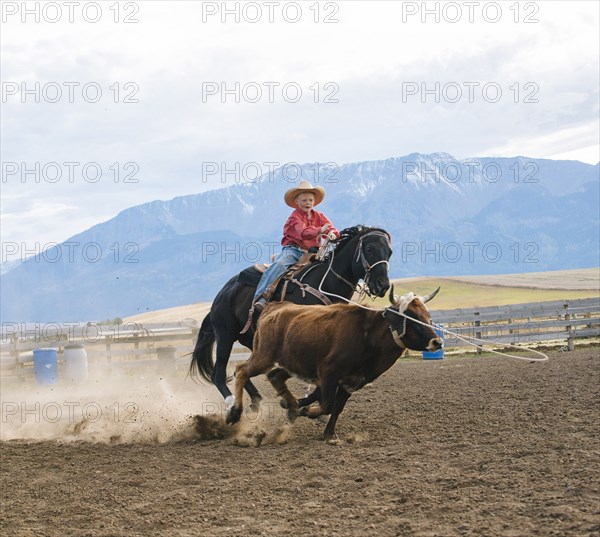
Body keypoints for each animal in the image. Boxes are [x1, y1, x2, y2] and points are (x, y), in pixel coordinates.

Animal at [189, 225, 394, 406]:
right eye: (369, 248)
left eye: (390, 252)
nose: (382, 285)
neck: (324, 283)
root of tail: (221, 294)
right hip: (225, 335)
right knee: (218, 374)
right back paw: (233, 404)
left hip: (250, 339)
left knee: (241, 372)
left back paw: (256, 402)